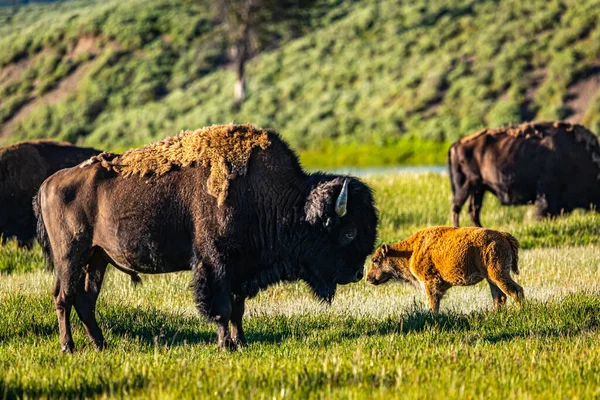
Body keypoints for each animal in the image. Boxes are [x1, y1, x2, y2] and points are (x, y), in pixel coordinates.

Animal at [34, 123, 376, 352]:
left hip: (97, 258)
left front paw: (241, 342)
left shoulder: (240, 269)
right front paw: (225, 345)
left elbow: (238, 308)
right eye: (348, 232)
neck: (267, 195)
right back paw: (68, 347)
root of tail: (48, 183)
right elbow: (221, 307)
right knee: (64, 297)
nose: (358, 273)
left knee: (85, 300)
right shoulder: (215, 264)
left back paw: (101, 345)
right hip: (71, 256)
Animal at [368, 227, 524, 310]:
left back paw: (521, 311)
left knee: (515, 291)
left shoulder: (430, 282)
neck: (410, 251)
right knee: (499, 297)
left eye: (375, 260)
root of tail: (503, 235)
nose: (369, 278)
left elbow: (433, 302)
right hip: (491, 279)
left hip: (498, 274)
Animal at [448, 122, 600, 227]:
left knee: (473, 210)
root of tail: (456, 144)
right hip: (465, 186)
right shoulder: (546, 195)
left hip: (479, 189)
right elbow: (541, 213)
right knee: (457, 207)